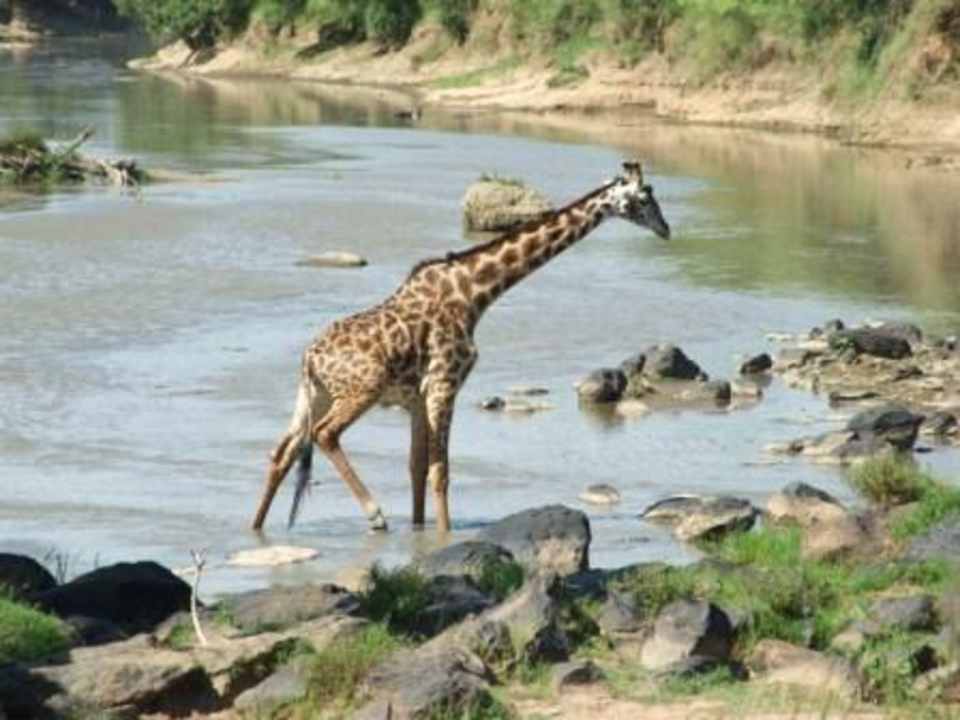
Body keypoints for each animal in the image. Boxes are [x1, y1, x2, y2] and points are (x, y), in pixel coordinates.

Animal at [251, 161, 671, 533]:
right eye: (645, 197)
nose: (666, 229)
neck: (474, 295)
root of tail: (309, 359)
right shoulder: (444, 384)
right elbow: (441, 471)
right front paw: (444, 533)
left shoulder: (418, 397)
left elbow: (417, 467)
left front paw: (420, 530)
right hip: (362, 389)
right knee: (325, 434)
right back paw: (375, 515)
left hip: (313, 396)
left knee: (282, 451)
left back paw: (255, 527)